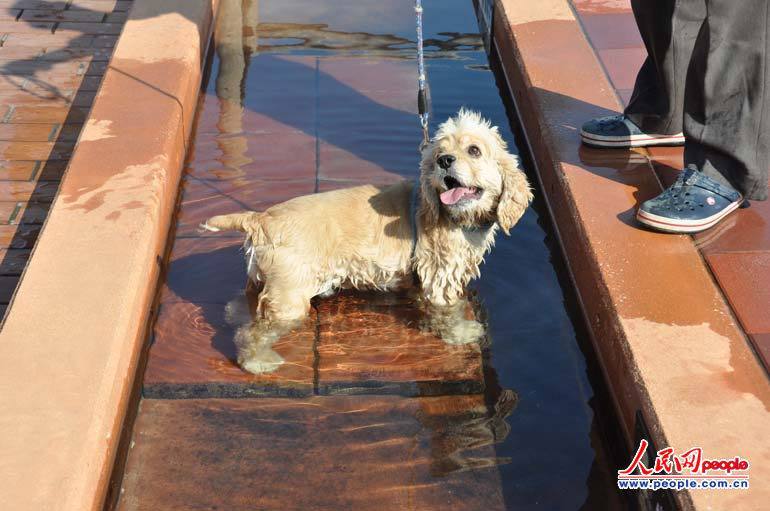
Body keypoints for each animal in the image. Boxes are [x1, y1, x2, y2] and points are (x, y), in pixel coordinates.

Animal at [201, 110, 532, 368]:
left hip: (261, 279)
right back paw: (258, 362)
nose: (445, 160)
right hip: (289, 297)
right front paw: (462, 334)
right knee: (251, 332)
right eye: (440, 154)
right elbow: (448, 312)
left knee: (244, 305)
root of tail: (260, 219)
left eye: (474, 150)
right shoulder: (441, 278)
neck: (453, 216)